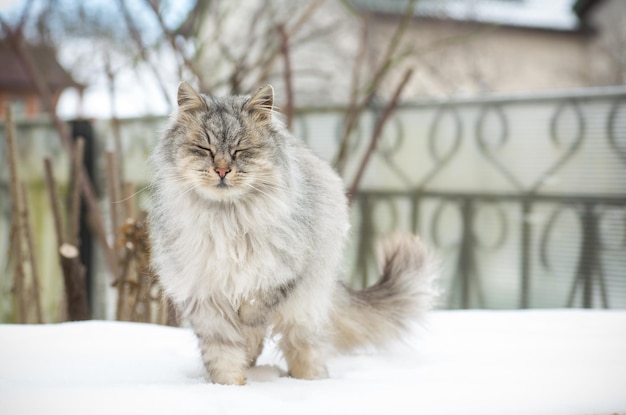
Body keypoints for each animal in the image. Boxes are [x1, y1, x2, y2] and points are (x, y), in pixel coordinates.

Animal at [148, 82, 436, 386]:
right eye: (204, 148)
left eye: (241, 150)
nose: (222, 170)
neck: (228, 220)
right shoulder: (206, 296)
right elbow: (223, 353)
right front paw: (229, 387)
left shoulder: (279, 276)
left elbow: (253, 318)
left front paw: (247, 343)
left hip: (305, 309)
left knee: (305, 349)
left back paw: (308, 381)